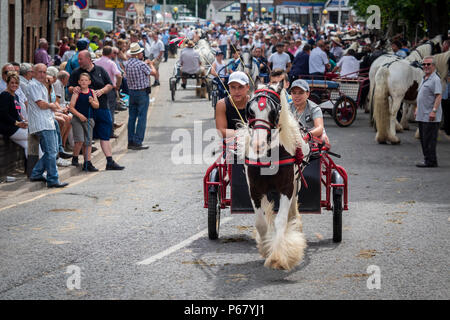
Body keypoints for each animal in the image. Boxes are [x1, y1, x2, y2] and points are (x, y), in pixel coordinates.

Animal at [234, 81, 312, 268]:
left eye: (273, 112)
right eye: (250, 111)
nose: (258, 145)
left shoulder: (287, 187)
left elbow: (280, 221)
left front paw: (278, 256)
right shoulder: (254, 189)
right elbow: (260, 223)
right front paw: (265, 248)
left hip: (297, 182)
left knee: (291, 210)